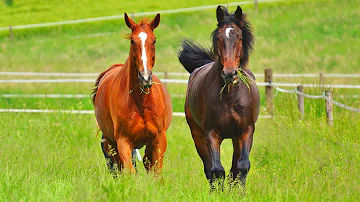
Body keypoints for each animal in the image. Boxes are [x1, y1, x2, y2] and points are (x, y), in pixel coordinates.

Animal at [92, 12, 172, 174]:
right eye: (132, 41)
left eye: (154, 40)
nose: (145, 77)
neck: (141, 102)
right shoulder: (123, 142)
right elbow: (129, 172)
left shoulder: (159, 140)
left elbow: (156, 173)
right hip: (111, 143)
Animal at [179, 5, 260, 189]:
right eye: (218, 38)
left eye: (239, 37)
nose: (229, 73)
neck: (230, 97)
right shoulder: (211, 133)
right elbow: (216, 169)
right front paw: (219, 192)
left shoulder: (246, 131)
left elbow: (242, 166)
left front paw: (240, 192)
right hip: (198, 135)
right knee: (209, 168)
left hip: (236, 138)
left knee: (234, 166)